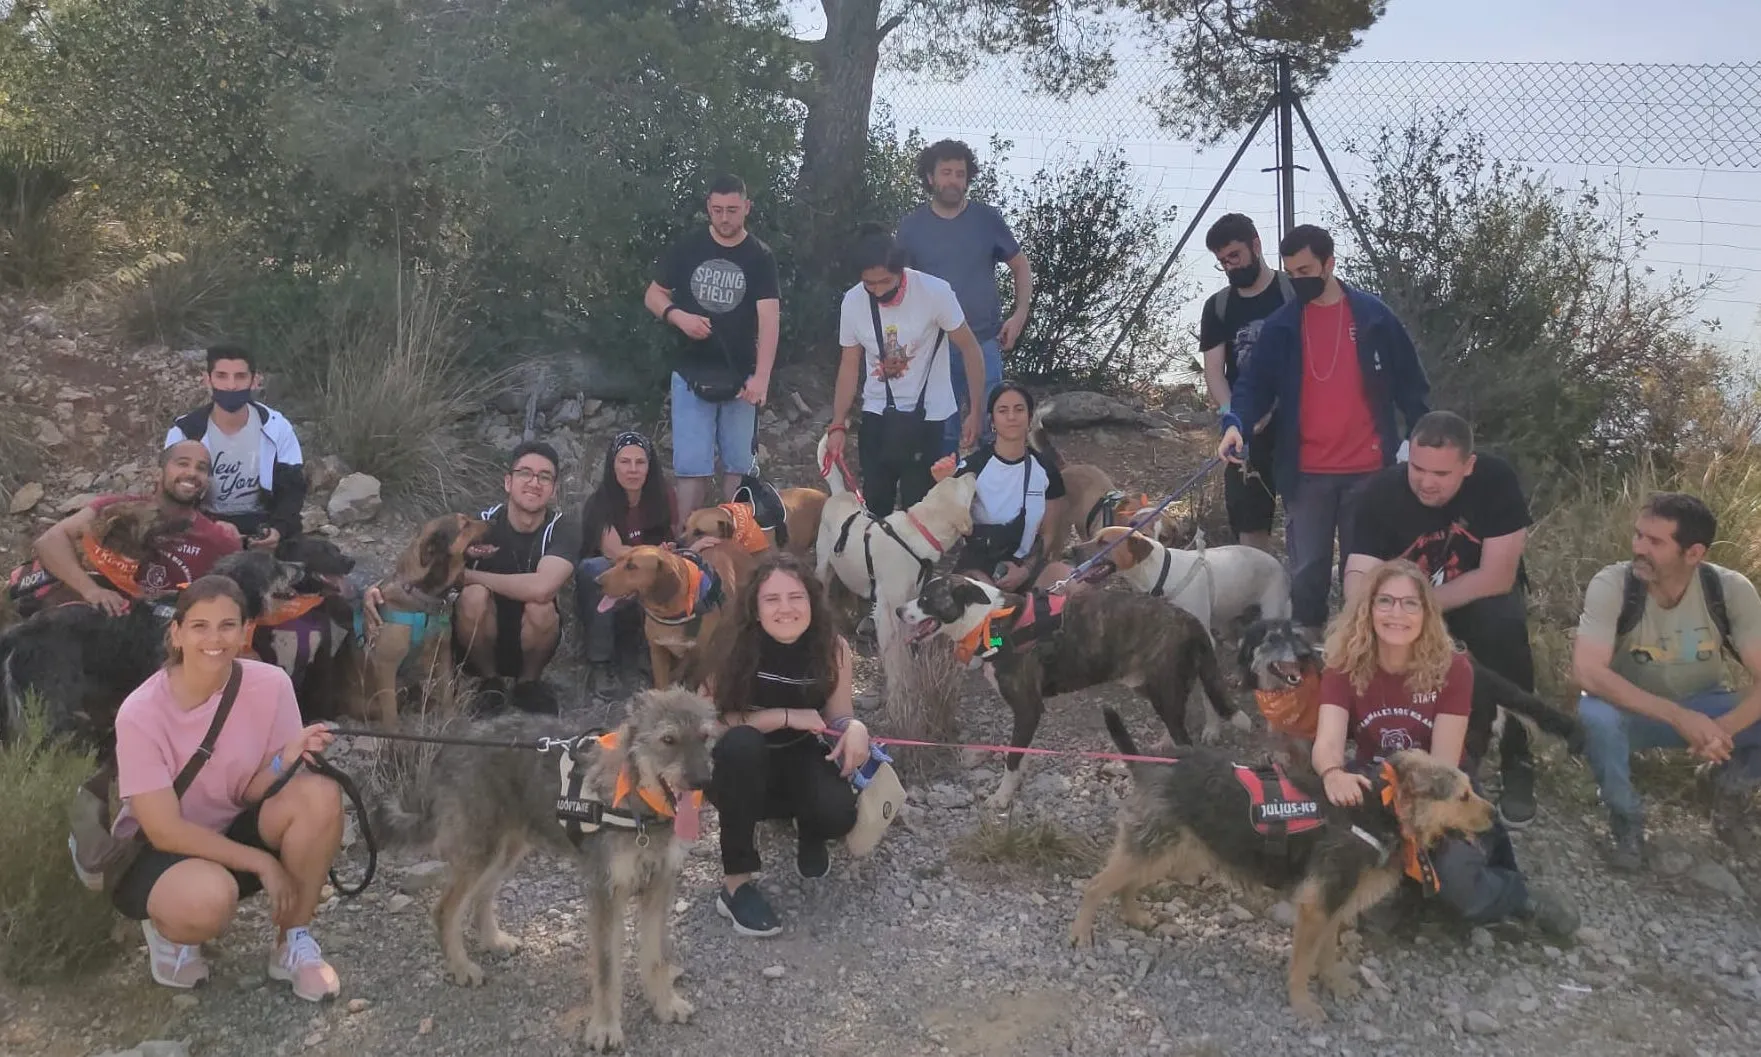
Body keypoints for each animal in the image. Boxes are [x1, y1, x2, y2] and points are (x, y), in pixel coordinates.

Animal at [376, 687, 714, 1049]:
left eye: (705, 737)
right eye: (668, 739)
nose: (702, 781)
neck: (636, 802)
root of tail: (452, 745)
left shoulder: (660, 885)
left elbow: (657, 957)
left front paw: (665, 1004)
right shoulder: (606, 893)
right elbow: (607, 969)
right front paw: (605, 1026)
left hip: (507, 851)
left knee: (483, 895)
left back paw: (493, 940)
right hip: (481, 852)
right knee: (445, 910)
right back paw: (461, 967)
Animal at [595, 549, 739, 690]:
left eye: (631, 566)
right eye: (617, 561)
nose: (596, 581)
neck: (671, 613)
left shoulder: (698, 656)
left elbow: (689, 681)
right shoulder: (658, 651)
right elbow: (662, 685)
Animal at [813, 431, 979, 648]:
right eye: (962, 486)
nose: (973, 474)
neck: (918, 533)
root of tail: (840, 493)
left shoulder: (910, 599)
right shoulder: (891, 610)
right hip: (823, 565)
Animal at [1063, 524, 1289, 641]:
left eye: (1104, 543)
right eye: (1094, 537)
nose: (1071, 551)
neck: (1162, 572)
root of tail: (1279, 564)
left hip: (1273, 610)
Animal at [1070, 711, 1500, 1021]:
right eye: (1462, 796)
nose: (1495, 815)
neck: (1383, 810)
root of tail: (1154, 765)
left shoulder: (1336, 902)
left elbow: (1327, 952)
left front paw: (1335, 983)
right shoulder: (1317, 906)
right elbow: (1304, 961)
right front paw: (1303, 1003)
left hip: (1170, 850)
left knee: (1127, 885)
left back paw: (1135, 916)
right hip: (1153, 847)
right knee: (1095, 886)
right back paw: (1080, 933)